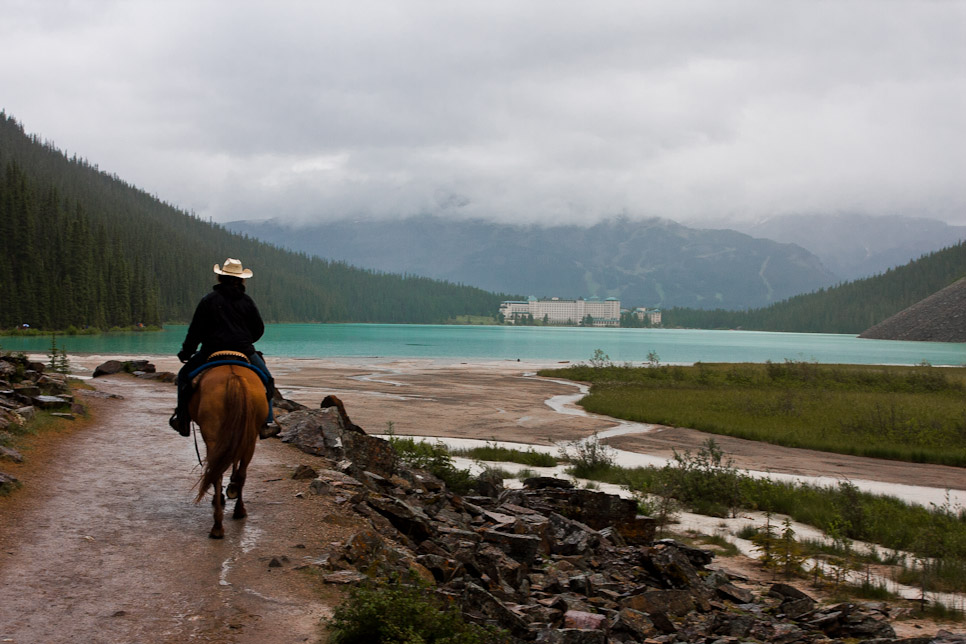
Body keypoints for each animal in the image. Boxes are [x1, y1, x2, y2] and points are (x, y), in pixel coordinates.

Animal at [189, 362, 268, 540]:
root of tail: (234, 377)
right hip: (249, 438)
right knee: (240, 473)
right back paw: (236, 511)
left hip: (214, 437)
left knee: (217, 474)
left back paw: (219, 524)